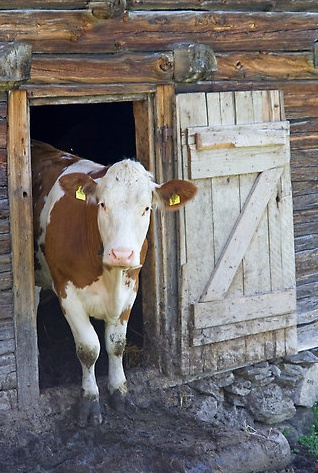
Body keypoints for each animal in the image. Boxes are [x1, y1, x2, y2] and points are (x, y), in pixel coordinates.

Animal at [31, 139, 196, 424]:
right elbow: (89, 348)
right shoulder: (67, 292)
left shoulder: (131, 289)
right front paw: (90, 401)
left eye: (146, 208)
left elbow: (116, 344)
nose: (121, 253)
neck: (110, 276)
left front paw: (119, 392)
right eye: (102, 204)